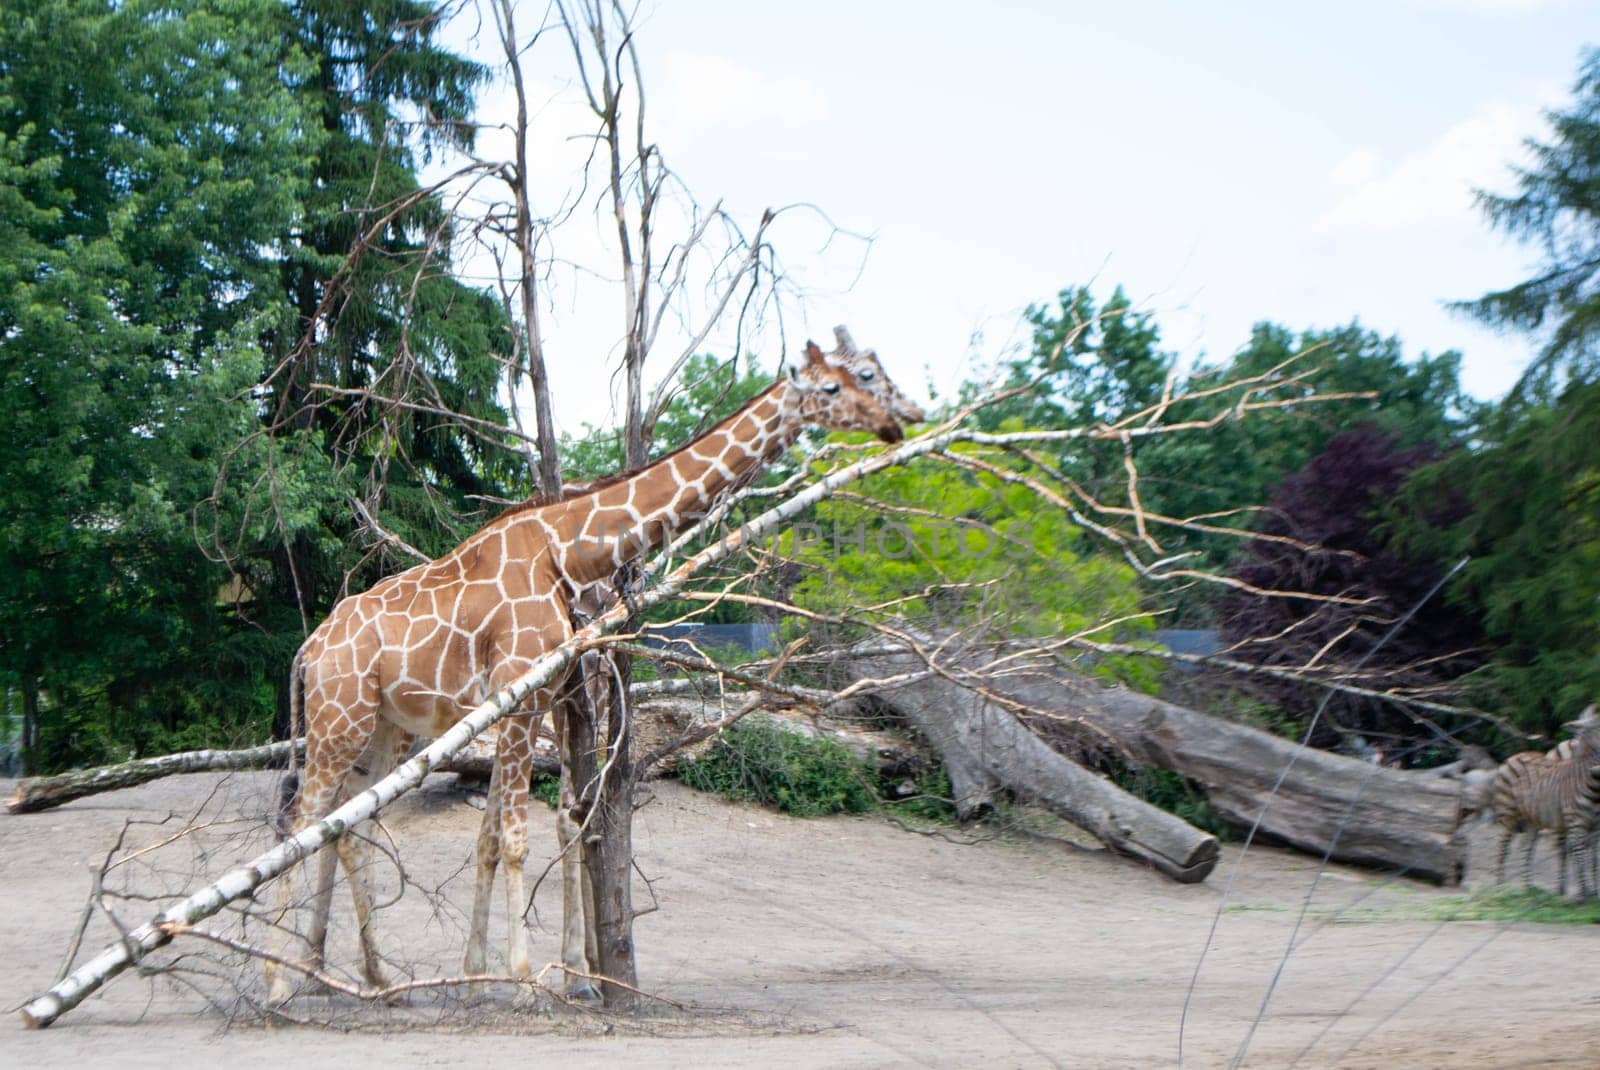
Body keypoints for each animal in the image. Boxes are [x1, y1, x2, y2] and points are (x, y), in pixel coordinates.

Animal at [262, 340, 915, 1004]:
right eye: (844, 384)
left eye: (874, 373)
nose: (901, 419)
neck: (570, 552)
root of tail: (308, 649)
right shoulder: (525, 697)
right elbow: (520, 836)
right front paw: (529, 981)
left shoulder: (544, 695)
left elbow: (503, 835)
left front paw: (480, 978)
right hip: (339, 720)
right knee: (301, 821)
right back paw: (279, 982)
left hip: (384, 727)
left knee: (346, 828)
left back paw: (369, 976)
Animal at [1484, 703, 1600, 895]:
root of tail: (1516, 755)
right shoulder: (1576, 824)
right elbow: (1581, 858)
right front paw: (1584, 894)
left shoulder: (1596, 827)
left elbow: (1594, 860)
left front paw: (1594, 892)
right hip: (1507, 814)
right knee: (1502, 848)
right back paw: (1500, 888)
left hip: (1532, 819)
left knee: (1527, 850)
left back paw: (1529, 890)